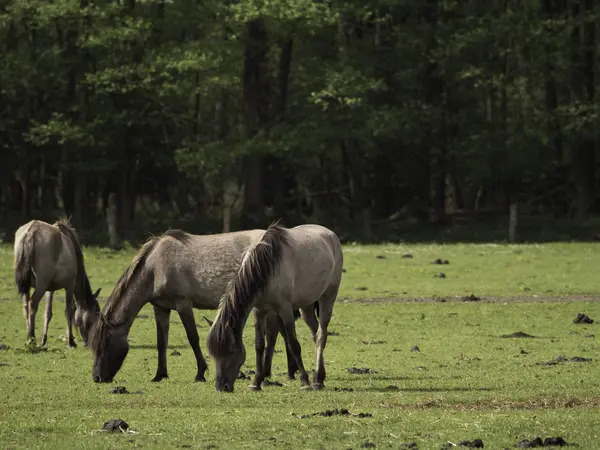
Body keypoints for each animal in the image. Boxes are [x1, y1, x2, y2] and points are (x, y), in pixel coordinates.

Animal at [13, 218, 102, 348]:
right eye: (96, 312)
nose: (89, 342)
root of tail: (31, 232)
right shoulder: (70, 285)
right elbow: (69, 311)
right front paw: (70, 341)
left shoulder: (50, 289)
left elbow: (48, 313)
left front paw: (44, 340)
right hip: (41, 284)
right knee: (32, 304)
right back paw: (31, 338)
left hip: (29, 285)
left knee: (26, 307)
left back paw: (29, 336)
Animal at [89, 229, 314, 384]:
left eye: (105, 344)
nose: (97, 377)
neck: (156, 267)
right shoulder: (160, 307)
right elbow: (162, 342)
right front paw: (159, 375)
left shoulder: (183, 304)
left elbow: (193, 338)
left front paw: (200, 373)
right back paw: (288, 371)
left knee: (277, 331)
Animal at [206, 223, 342, 392]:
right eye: (213, 354)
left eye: (231, 350)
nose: (221, 387)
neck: (267, 267)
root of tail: (330, 234)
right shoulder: (259, 311)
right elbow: (259, 345)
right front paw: (256, 382)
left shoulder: (285, 310)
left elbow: (294, 345)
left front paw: (305, 382)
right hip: (306, 306)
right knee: (315, 333)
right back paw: (320, 377)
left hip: (328, 297)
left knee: (321, 334)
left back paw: (316, 380)